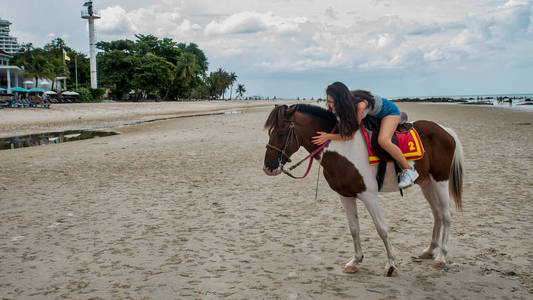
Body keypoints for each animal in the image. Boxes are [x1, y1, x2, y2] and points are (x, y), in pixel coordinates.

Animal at [262, 103, 462, 276]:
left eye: (281, 134)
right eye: (270, 132)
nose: (268, 168)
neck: (343, 148)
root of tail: (445, 130)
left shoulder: (369, 195)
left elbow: (381, 229)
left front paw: (391, 264)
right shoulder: (345, 196)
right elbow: (354, 228)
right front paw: (355, 261)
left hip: (440, 181)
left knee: (446, 214)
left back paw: (441, 257)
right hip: (426, 182)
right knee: (437, 213)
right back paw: (430, 250)